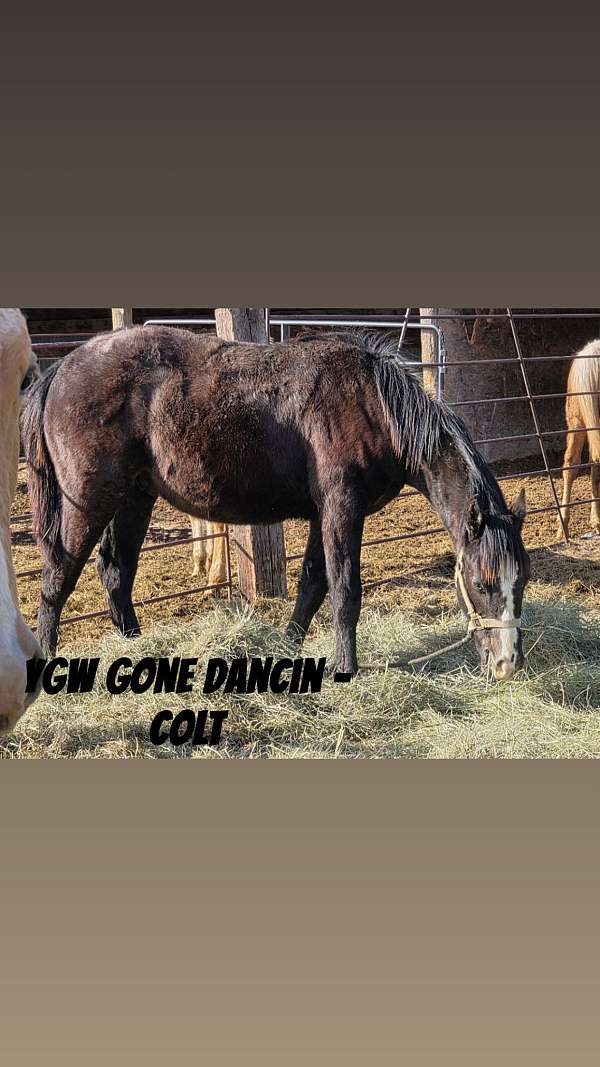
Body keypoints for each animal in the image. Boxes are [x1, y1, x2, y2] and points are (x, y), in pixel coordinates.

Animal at [21, 326, 530, 680]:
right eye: (481, 583)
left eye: (520, 581)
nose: (507, 665)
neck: (372, 405)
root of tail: (62, 369)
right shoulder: (342, 509)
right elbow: (345, 592)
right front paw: (346, 669)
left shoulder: (326, 513)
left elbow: (312, 585)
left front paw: (289, 649)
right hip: (89, 501)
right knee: (59, 575)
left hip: (135, 497)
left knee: (115, 570)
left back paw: (135, 646)